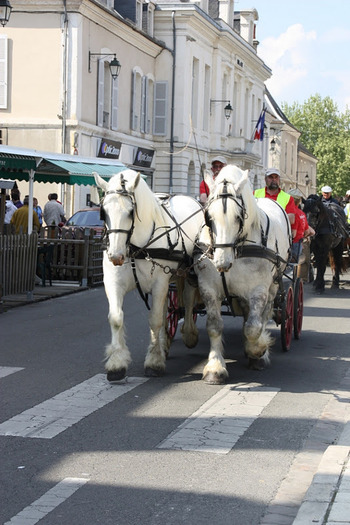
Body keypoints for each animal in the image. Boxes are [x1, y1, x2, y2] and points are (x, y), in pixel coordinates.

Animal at [93, 170, 204, 378]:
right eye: (103, 212)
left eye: (130, 212)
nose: (116, 256)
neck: (135, 247)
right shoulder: (113, 282)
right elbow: (117, 318)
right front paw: (117, 363)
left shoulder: (160, 282)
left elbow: (154, 320)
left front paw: (154, 361)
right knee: (167, 309)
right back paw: (165, 342)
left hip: (187, 273)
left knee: (187, 300)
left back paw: (189, 334)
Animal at [196, 166, 292, 382]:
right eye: (208, 217)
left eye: (238, 217)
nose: (221, 263)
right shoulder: (208, 288)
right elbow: (214, 325)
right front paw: (215, 367)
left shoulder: (259, 290)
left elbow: (254, 327)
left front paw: (258, 350)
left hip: (273, 287)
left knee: (264, 314)